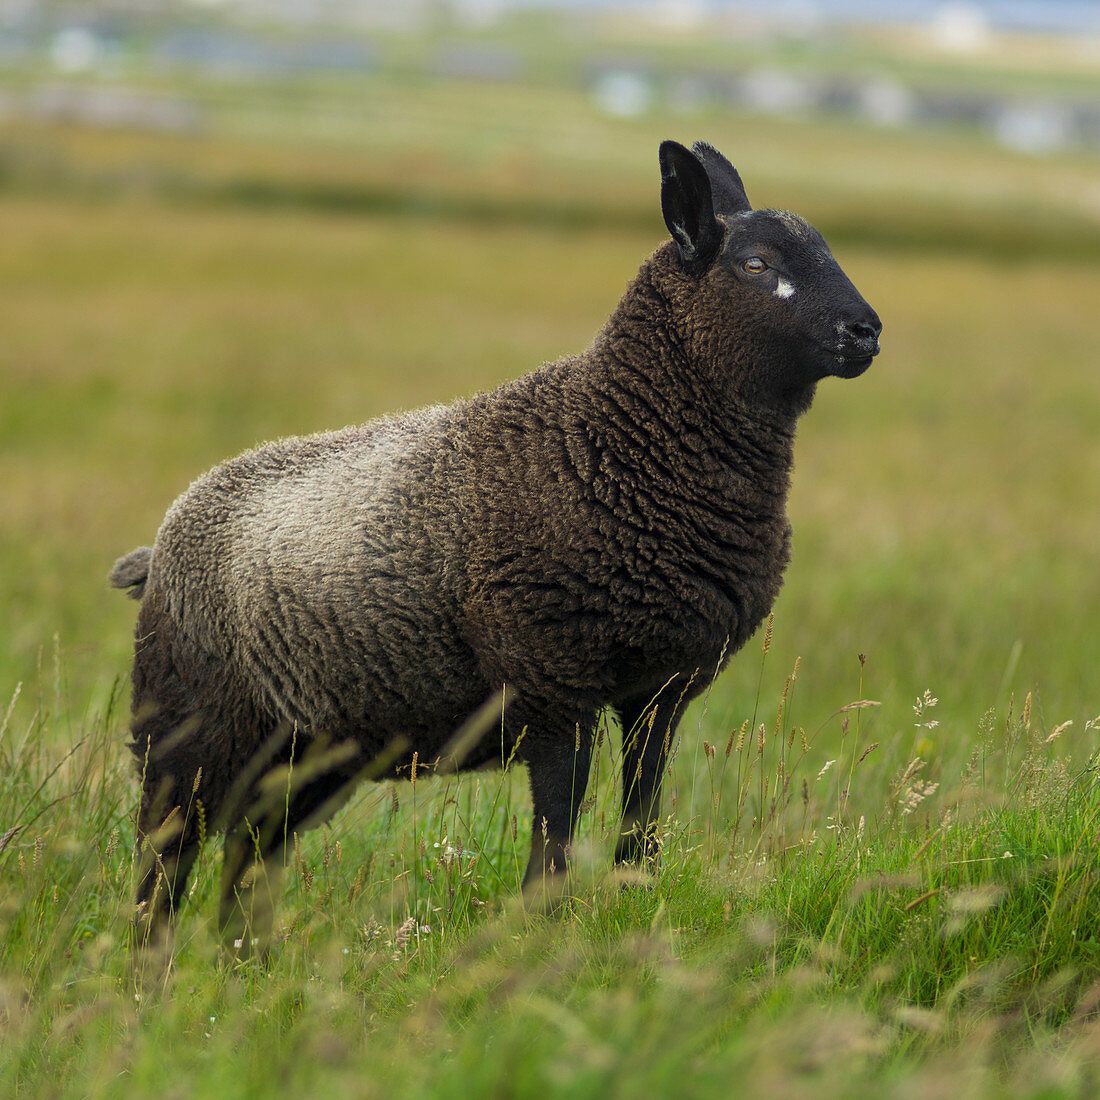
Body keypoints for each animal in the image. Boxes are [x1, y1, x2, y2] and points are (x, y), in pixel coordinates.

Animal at [111, 137, 880, 946]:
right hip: (187, 728)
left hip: (304, 751)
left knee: (250, 855)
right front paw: (543, 928)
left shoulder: (662, 691)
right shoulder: (553, 682)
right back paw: (152, 971)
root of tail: (159, 546)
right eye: (757, 264)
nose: (867, 332)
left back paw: (242, 964)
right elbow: (557, 824)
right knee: (165, 859)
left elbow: (642, 816)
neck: (614, 438)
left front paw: (634, 901)